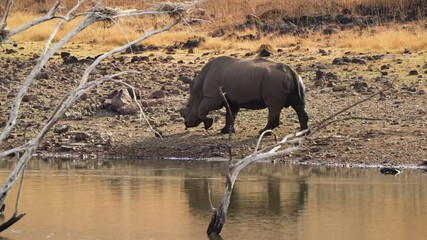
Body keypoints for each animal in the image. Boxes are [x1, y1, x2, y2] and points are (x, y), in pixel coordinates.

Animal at [179, 56, 310, 135]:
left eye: (188, 105)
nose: (187, 124)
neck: (198, 87)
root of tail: (291, 71)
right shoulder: (231, 100)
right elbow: (230, 115)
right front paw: (225, 131)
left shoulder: (212, 97)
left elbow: (201, 109)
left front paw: (208, 124)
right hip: (295, 79)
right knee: (298, 105)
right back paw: (303, 132)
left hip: (274, 81)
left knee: (273, 107)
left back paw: (263, 132)